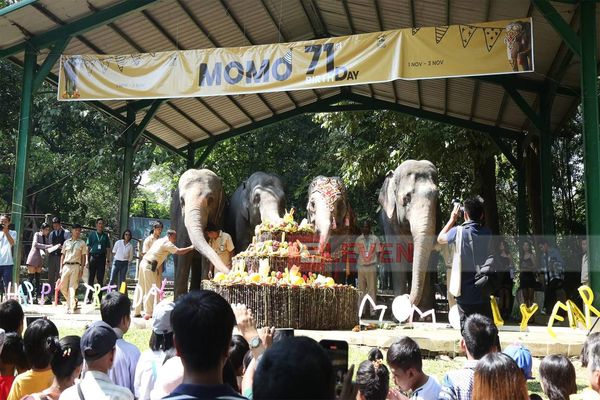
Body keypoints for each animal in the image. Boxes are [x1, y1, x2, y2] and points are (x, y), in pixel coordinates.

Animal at [171, 168, 229, 298]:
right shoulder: (181, 221)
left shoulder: (220, 217)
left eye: (211, 199)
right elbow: (183, 253)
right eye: (182, 201)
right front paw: (179, 299)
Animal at [378, 160, 439, 310]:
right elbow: (397, 256)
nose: (405, 298)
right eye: (407, 198)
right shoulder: (389, 222)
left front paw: (424, 313)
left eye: (437, 197)